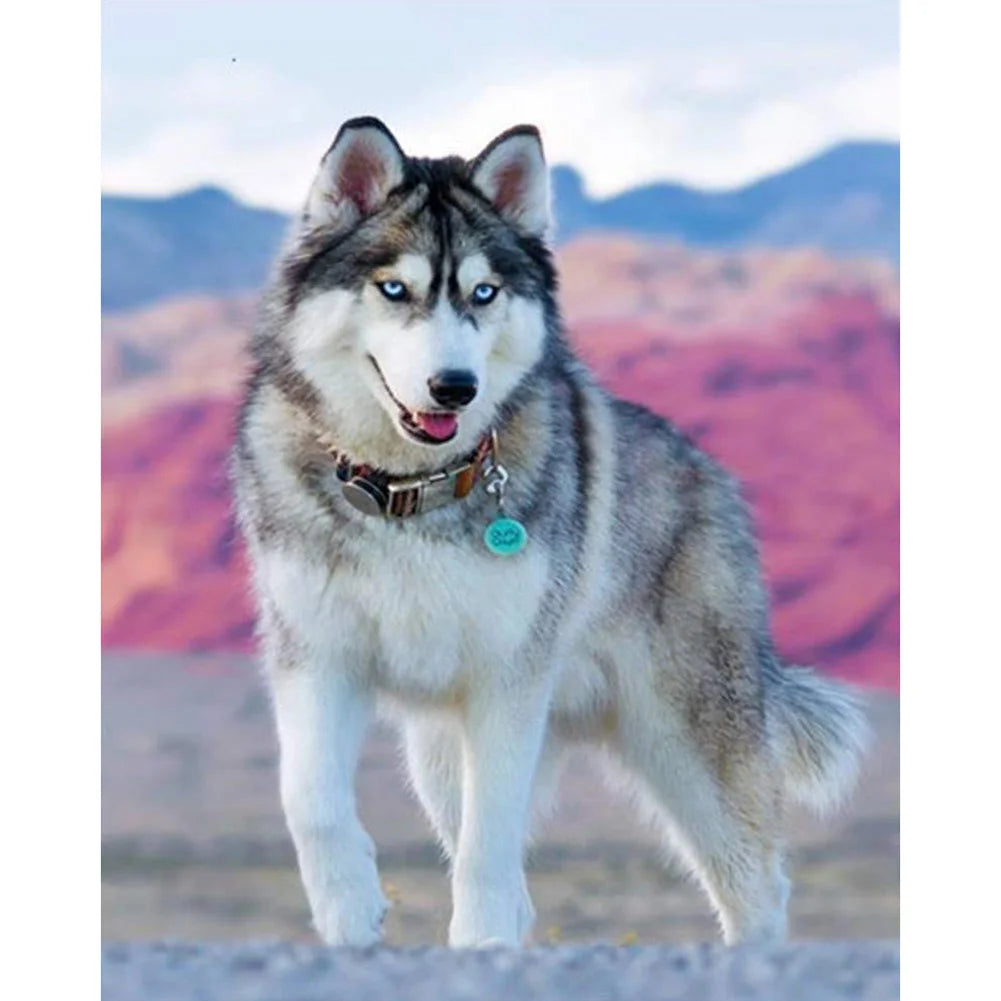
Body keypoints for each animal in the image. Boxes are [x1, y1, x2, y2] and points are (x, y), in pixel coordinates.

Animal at [232, 117, 868, 948]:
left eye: (484, 291)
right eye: (394, 287)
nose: (454, 387)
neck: (407, 493)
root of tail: (714, 477)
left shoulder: (507, 680)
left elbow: (489, 841)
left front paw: (480, 944)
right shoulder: (315, 656)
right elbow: (309, 799)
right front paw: (350, 914)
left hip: (688, 741)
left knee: (755, 883)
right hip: (438, 753)